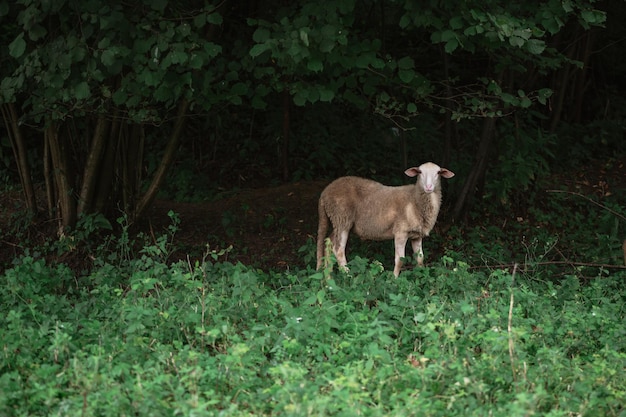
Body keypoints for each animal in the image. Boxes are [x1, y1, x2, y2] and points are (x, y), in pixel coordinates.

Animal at [312, 162, 454, 276]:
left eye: (438, 173)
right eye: (419, 172)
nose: (429, 187)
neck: (415, 200)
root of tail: (324, 193)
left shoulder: (417, 235)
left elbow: (420, 258)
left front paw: (420, 276)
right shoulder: (400, 231)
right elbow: (400, 260)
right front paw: (394, 279)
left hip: (336, 220)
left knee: (328, 244)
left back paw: (328, 277)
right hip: (342, 218)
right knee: (338, 250)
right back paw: (348, 276)